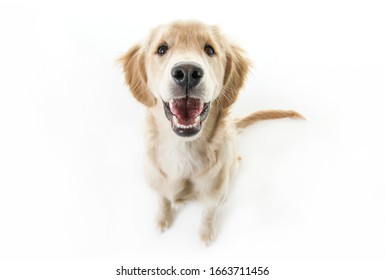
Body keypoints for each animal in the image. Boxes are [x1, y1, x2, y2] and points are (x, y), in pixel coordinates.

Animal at [120, 20, 304, 245]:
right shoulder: (156, 183)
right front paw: (162, 219)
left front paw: (205, 234)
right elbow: (163, 200)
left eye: (209, 50)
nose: (187, 72)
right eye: (162, 49)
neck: (183, 150)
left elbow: (208, 214)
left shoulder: (215, 196)